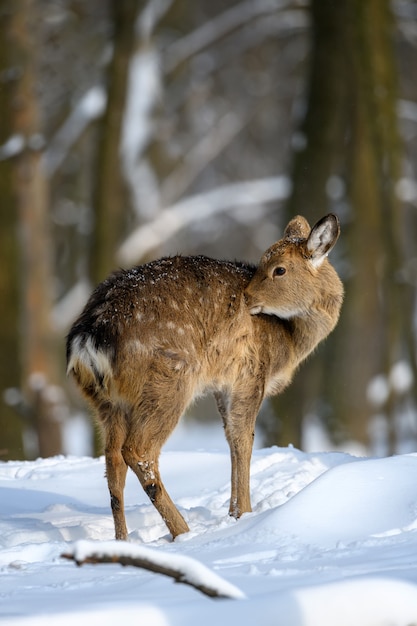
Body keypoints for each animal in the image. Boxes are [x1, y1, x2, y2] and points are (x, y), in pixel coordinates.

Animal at [66, 212, 342, 540]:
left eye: (279, 269)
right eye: (267, 263)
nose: (247, 298)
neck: (289, 339)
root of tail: (88, 337)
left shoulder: (223, 385)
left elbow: (231, 439)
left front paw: (234, 513)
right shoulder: (252, 373)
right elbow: (244, 440)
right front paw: (245, 514)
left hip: (105, 401)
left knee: (113, 462)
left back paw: (123, 540)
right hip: (169, 379)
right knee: (138, 450)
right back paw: (183, 531)